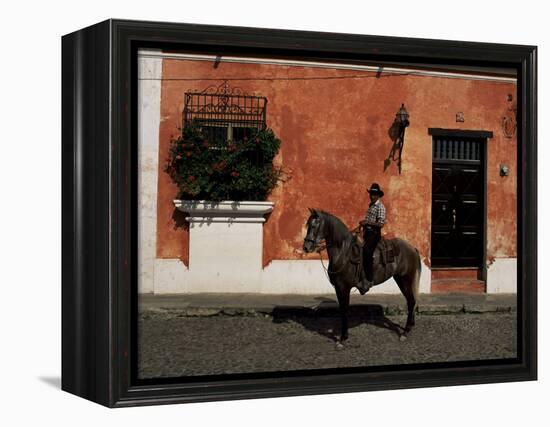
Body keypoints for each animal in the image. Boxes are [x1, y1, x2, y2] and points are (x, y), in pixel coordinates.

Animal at [304, 210, 424, 348]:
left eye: (314, 225)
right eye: (308, 225)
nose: (306, 247)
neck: (343, 253)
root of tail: (412, 248)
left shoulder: (344, 287)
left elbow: (344, 310)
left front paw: (343, 338)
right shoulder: (338, 288)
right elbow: (342, 310)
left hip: (406, 279)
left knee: (411, 301)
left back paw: (405, 332)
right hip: (400, 279)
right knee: (411, 301)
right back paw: (409, 327)